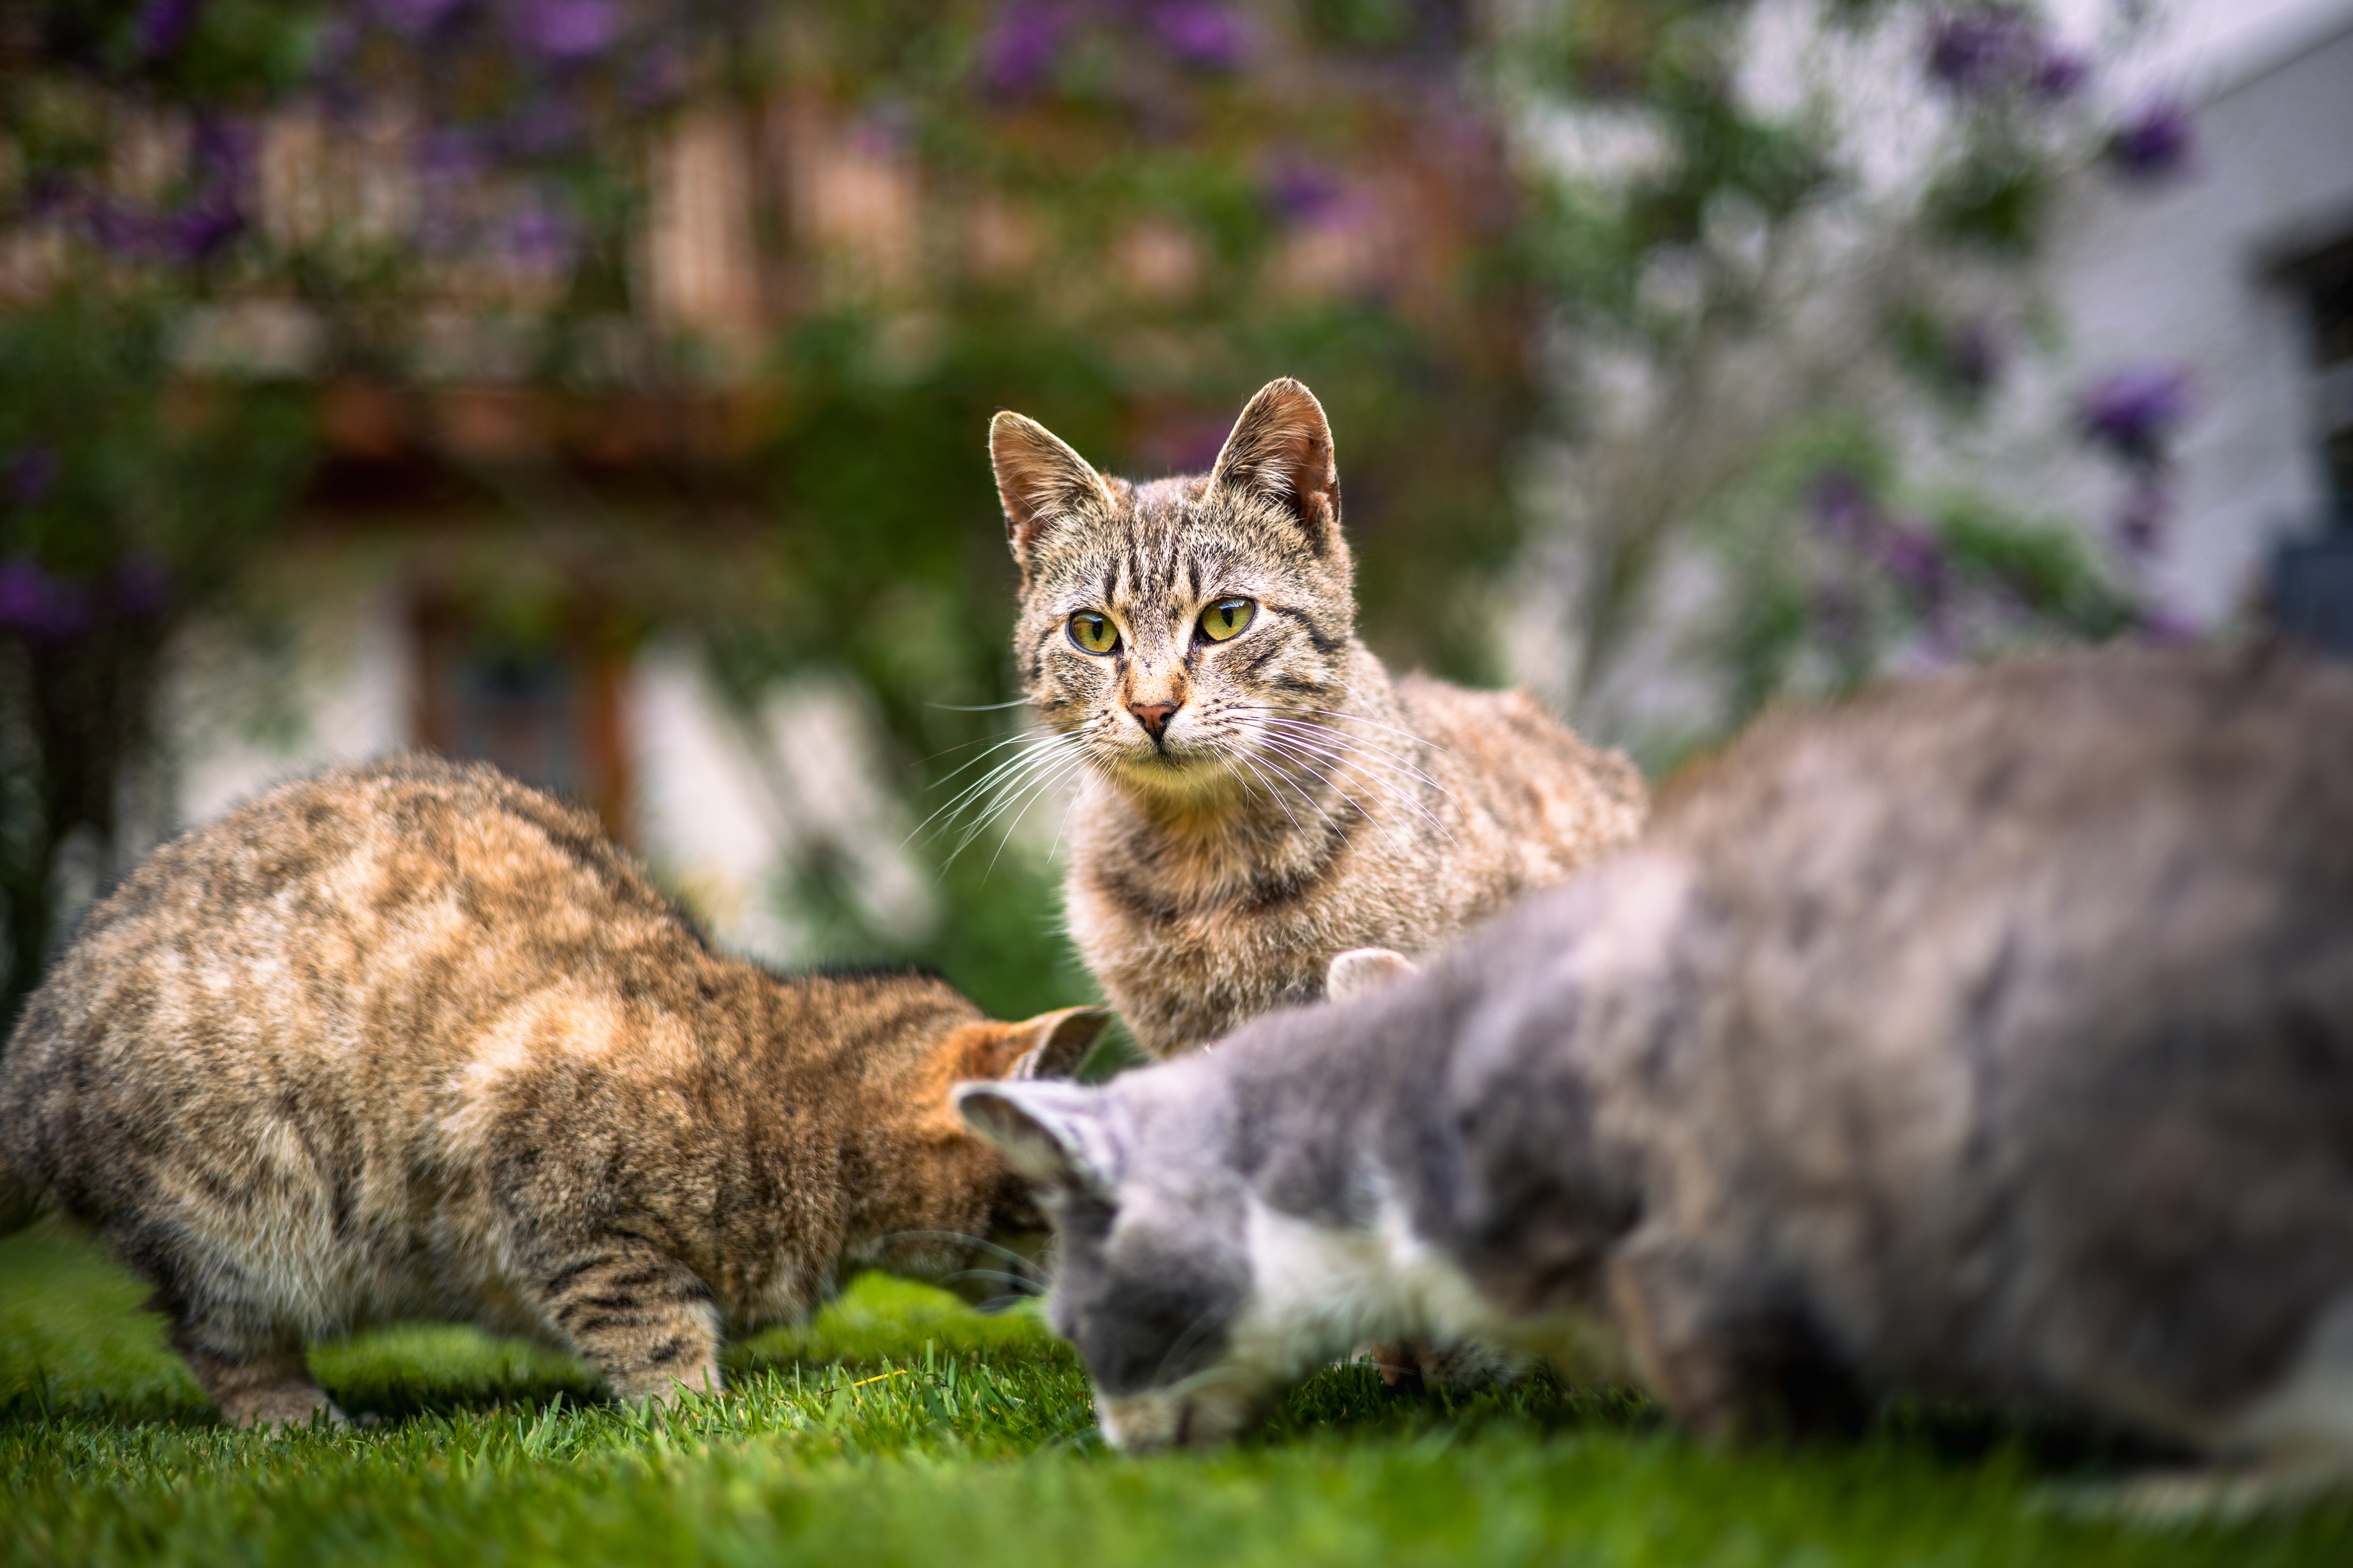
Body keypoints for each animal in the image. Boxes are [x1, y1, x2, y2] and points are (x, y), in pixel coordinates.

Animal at [0, 752, 1101, 1429]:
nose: (1077, 1286)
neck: (793, 1091)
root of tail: (36, 1037)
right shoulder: (566, 1195)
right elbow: (653, 1327)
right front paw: (698, 1416)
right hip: (245, 1215)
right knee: (223, 1341)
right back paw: (299, 1418)